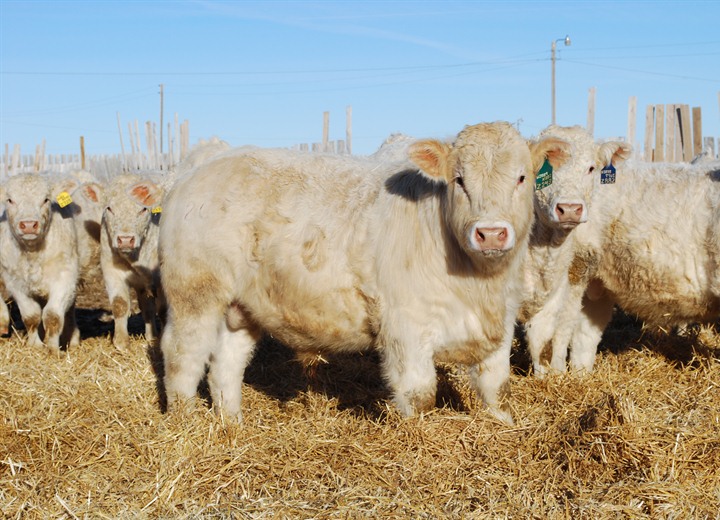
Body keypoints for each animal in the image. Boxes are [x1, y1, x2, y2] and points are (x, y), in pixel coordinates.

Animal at [0, 173, 80, 351]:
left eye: (46, 199)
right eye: (10, 200)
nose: (29, 225)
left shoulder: (65, 278)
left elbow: (52, 316)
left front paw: (52, 349)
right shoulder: (15, 283)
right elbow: (31, 316)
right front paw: (35, 345)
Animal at [99, 173, 165, 350]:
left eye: (143, 209)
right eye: (109, 208)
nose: (126, 240)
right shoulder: (111, 271)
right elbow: (120, 304)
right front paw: (121, 342)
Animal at [158, 121, 570, 424]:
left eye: (522, 177)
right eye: (459, 180)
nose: (491, 233)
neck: (479, 284)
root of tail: (200, 167)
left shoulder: (499, 325)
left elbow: (498, 388)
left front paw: (505, 426)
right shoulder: (405, 329)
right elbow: (420, 394)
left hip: (241, 307)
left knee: (226, 364)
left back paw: (232, 423)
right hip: (195, 293)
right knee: (183, 356)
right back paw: (186, 422)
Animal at [518, 125, 632, 377]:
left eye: (591, 168)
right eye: (543, 171)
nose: (569, 209)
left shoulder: (568, 286)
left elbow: (551, 333)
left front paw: (554, 374)